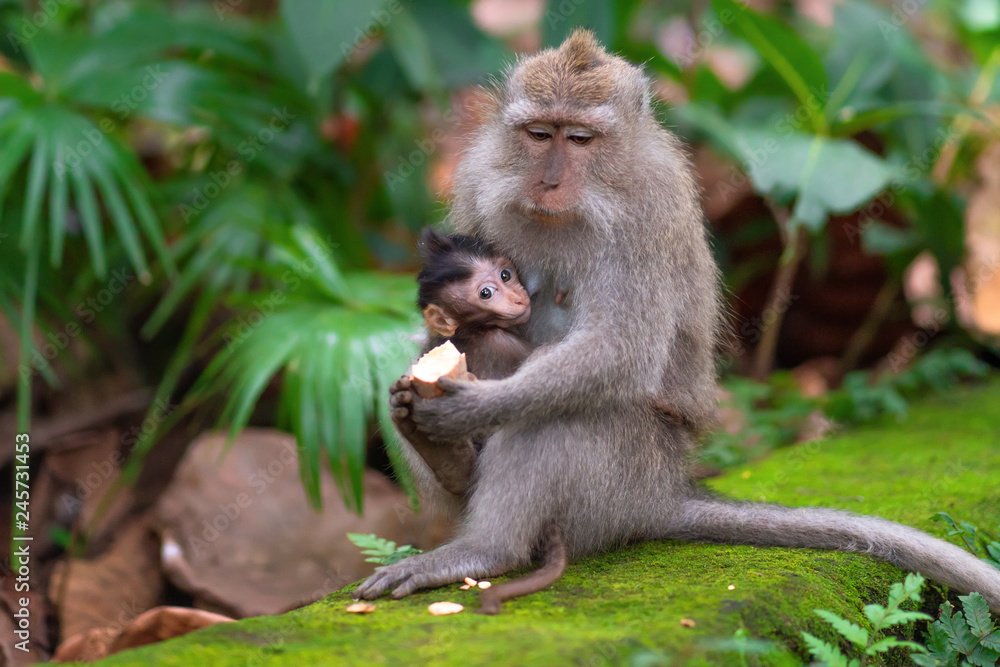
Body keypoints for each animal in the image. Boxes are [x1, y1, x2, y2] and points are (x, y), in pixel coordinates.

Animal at [355, 30, 1000, 614]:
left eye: (580, 138)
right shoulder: (477, 175)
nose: (549, 179)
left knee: (561, 411)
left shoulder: (647, 210)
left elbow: (620, 349)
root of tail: (662, 496)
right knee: (416, 378)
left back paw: (488, 548)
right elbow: (439, 328)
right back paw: (451, 463)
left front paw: (473, 408)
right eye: (539, 134)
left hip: (623, 480)